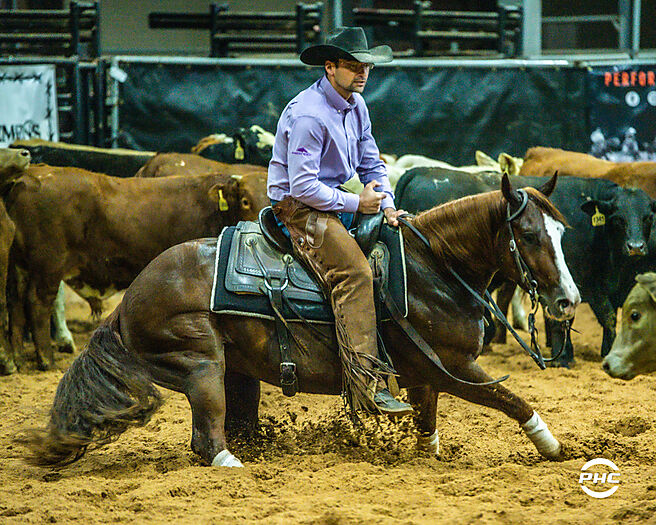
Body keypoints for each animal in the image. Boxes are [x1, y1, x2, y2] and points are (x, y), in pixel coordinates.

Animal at [5, 165, 266, 373]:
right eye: (245, 201)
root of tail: (29, 175)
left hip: (20, 265)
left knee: (15, 304)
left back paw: (16, 359)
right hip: (48, 266)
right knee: (37, 303)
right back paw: (46, 359)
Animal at [24, 174, 580, 468]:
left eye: (561, 232)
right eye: (530, 236)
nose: (569, 301)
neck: (434, 269)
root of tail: (129, 299)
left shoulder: (428, 376)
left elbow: (428, 426)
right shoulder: (456, 367)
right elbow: (513, 399)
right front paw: (556, 447)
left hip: (236, 371)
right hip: (200, 363)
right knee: (208, 434)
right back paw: (232, 464)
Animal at [395, 167, 656, 366]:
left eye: (648, 217)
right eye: (618, 218)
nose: (636, 247)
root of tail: (420, 171)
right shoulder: (585, 284)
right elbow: (597, 317)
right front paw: (568, 356)